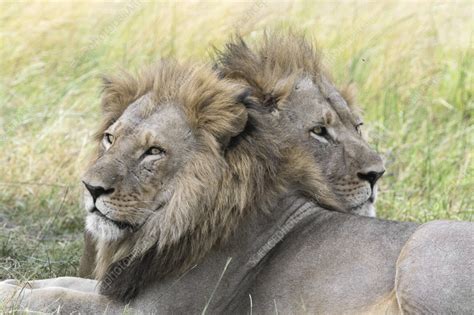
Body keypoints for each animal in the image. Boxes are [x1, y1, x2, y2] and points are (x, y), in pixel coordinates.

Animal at [0, 32, 472, 314]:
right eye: (110, 139)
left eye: (154, 151)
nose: (90, 188)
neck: (163, 227)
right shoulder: (121, 283)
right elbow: (57, 282)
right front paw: (11, 283)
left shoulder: (158, 310)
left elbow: (59, 298)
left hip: (426, 247)